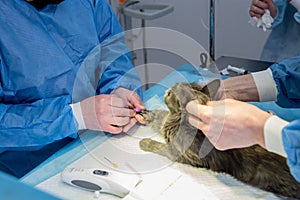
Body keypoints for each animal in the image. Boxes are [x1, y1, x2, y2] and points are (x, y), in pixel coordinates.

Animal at [139, 81, 300, 198]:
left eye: (174, 94)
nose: (169, 89)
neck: (177, 121)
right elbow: (160, 116)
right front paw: (147, 114)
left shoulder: (182, 154)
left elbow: (160, 147)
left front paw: (144, 142)